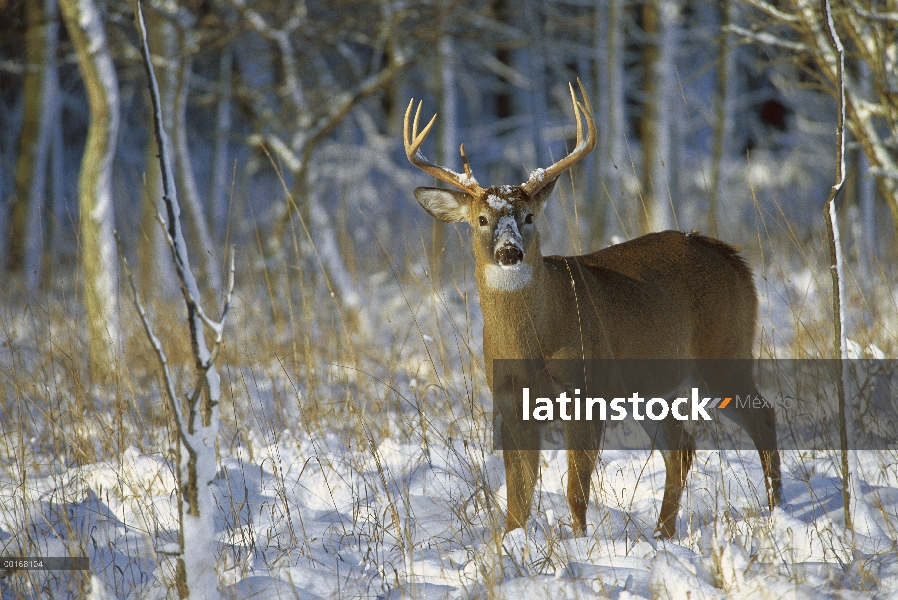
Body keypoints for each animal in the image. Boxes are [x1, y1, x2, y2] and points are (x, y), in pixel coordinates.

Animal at [402, 78, 780, 540]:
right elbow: (517, 499)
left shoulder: (586, 392)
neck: (532, 343)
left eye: (529, 216)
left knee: (763, 418)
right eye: (480, 220)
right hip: (652, 385)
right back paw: (663, 532)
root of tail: (735, 258)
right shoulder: (510, 404)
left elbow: (575, 491)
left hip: (725, 351)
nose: (510, 252)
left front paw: (580, 544)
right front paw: (511, 544)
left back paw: (776, 510)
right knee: (681, 445)